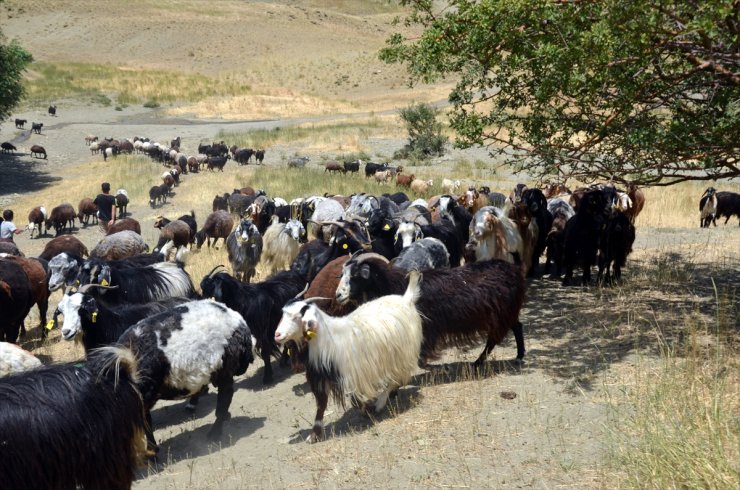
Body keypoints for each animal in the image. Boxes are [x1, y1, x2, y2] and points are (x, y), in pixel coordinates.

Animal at [274, 270, 424, 442]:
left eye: (297, 317)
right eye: (283, 314)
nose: (277, 335)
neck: (328, 340)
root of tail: (406, 299)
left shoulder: (353, 374)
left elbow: (355, 401)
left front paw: (368, 410)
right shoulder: (321, 377)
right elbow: (321, 404)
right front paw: (315, 434)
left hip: (402, 353)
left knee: (397, 376)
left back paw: (381, 401)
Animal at [336, 253, 528, 368]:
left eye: (355, 276)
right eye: (343, 274)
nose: (338, 295)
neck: (396, 284)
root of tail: (515, 268)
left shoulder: (425, 325)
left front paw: (423, 362)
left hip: (503, 313)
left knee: (496, 338)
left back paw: (482, 361)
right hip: (506, 312)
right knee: (516, 327)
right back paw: (516, 355)